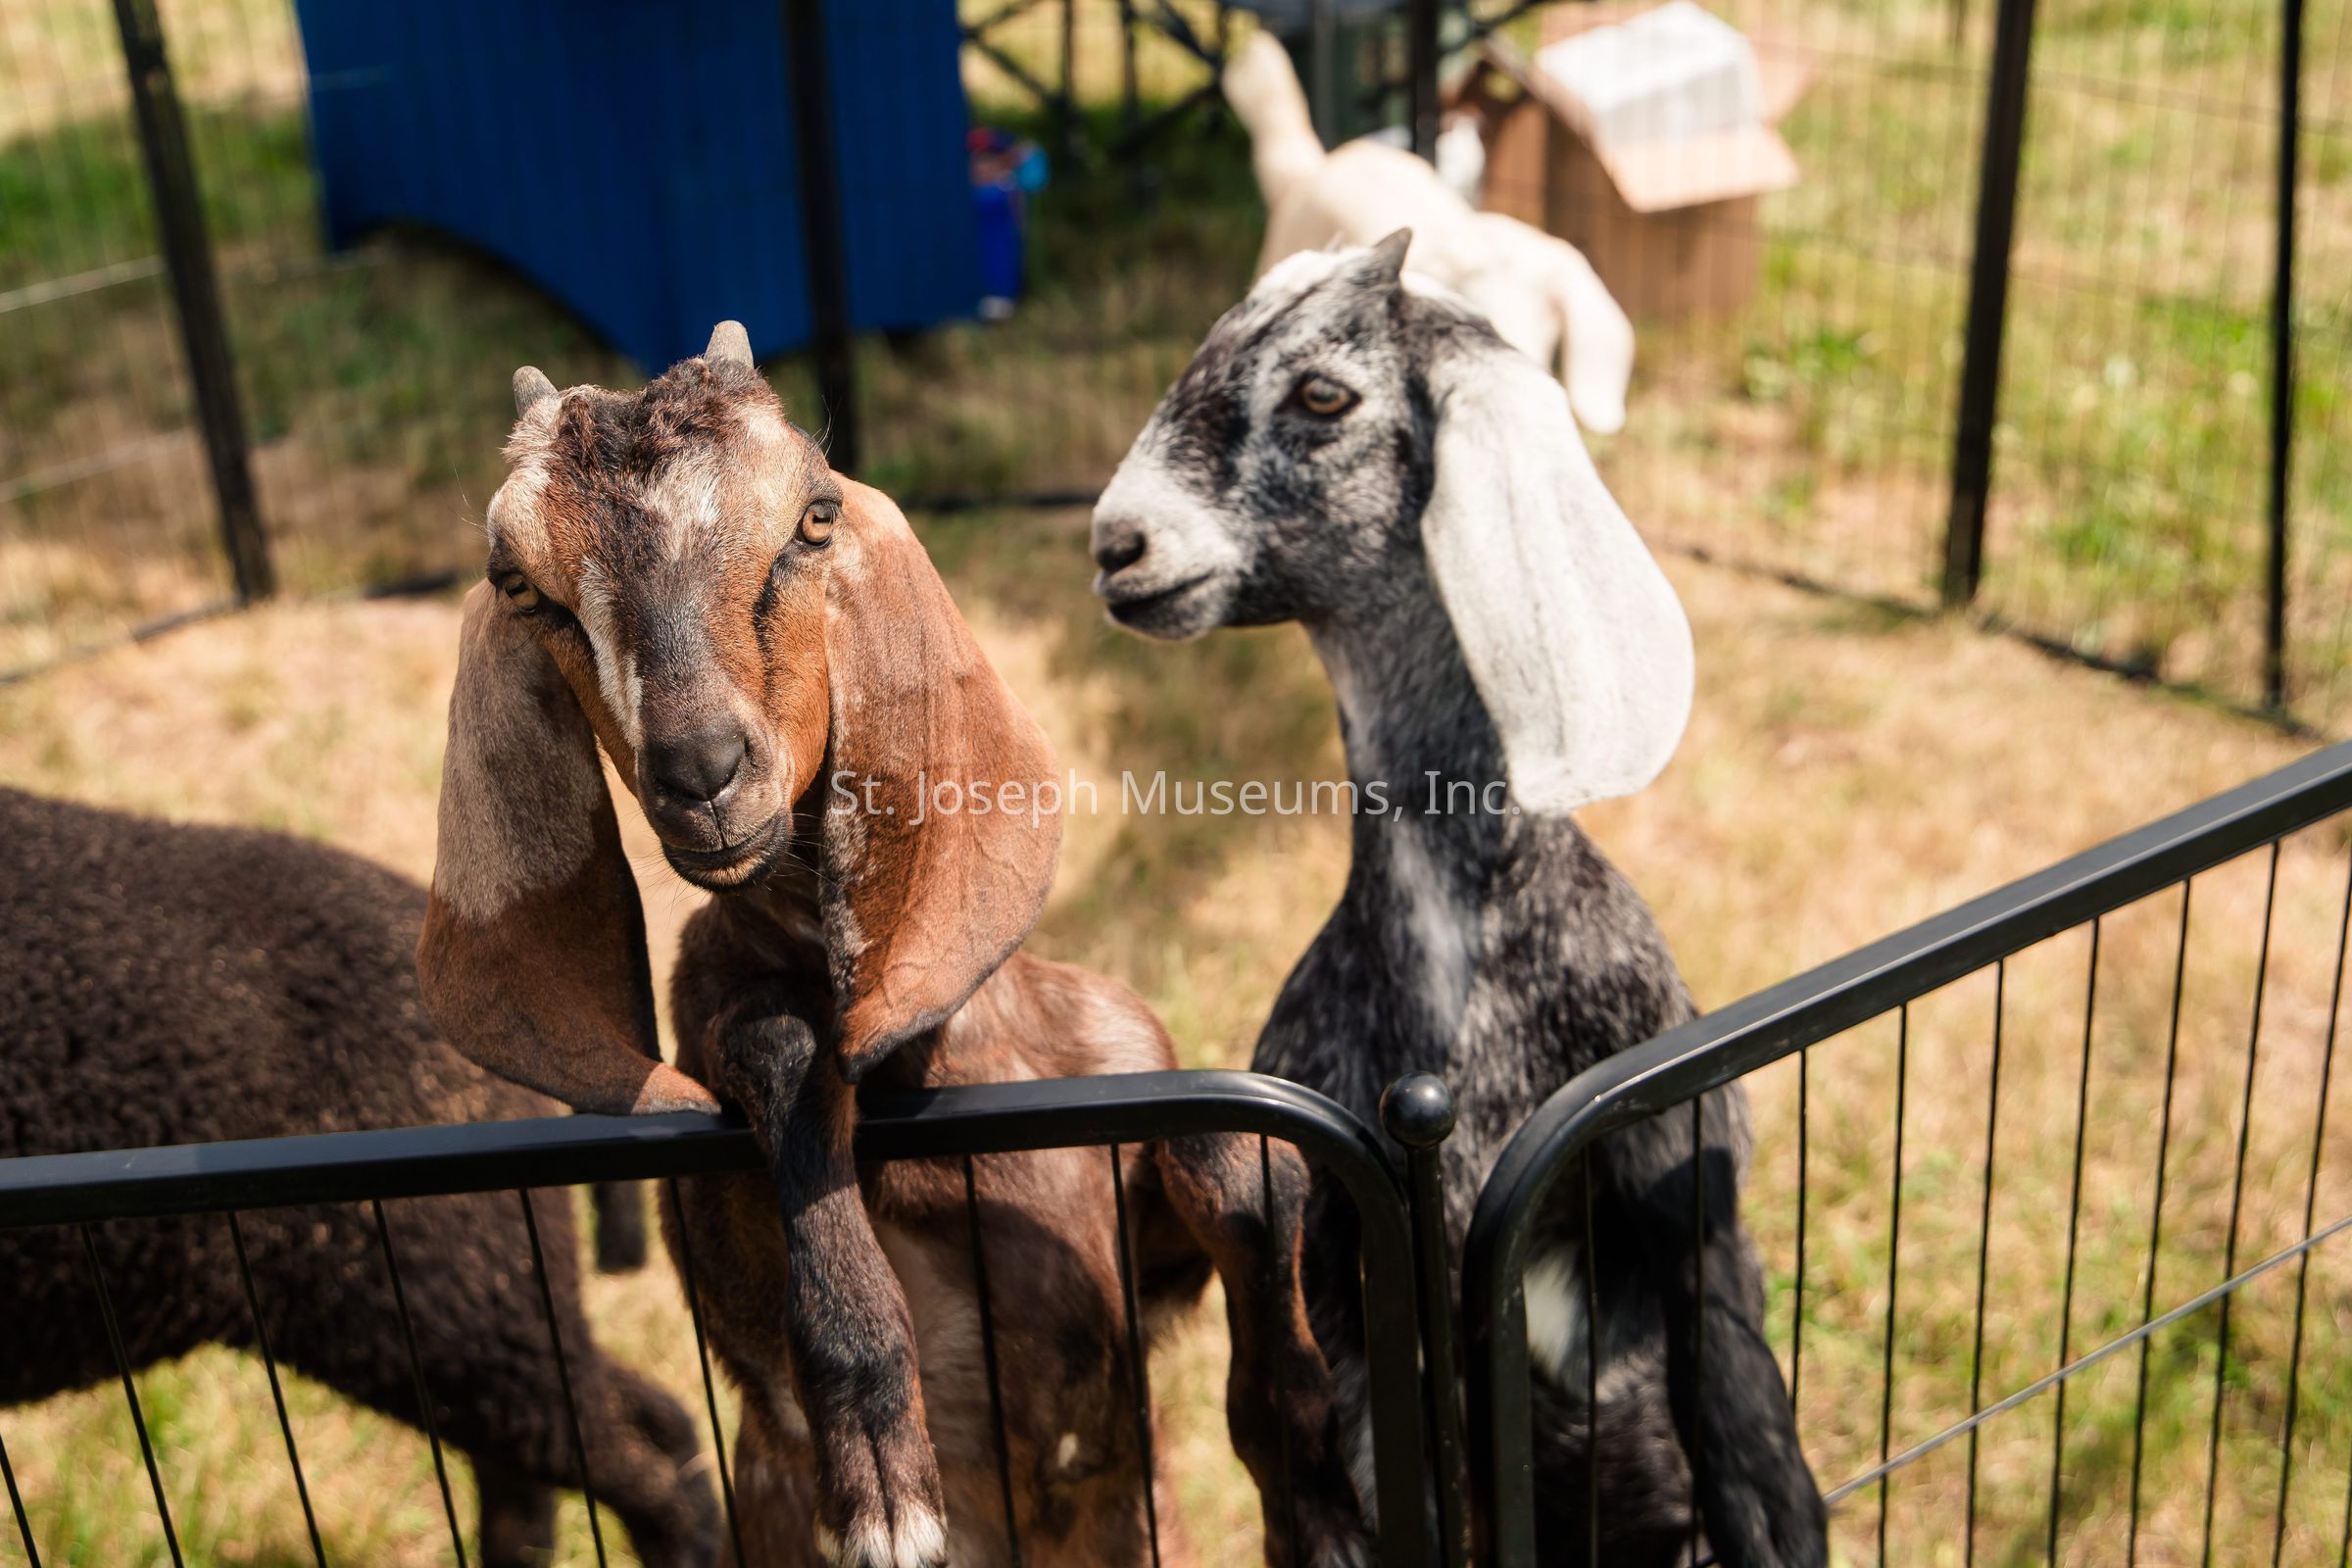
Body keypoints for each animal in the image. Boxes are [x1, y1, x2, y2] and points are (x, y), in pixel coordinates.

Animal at [415, 324, 1364, 1568]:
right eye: (519, 582)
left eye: (814, 516)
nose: (702, 772)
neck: (947, 1063)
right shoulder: (717, 1210)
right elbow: (777, 1055)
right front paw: (882, 1477)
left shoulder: (1144, 1196)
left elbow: (1241, 1157)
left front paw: (1317, 1495)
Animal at [1089, 238, 1827, 1566]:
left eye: (1323, 392)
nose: (1116, 542)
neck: (1462, 952)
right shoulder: (1334, 1281)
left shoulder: (1684, 1174)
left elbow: (1755, 1445)